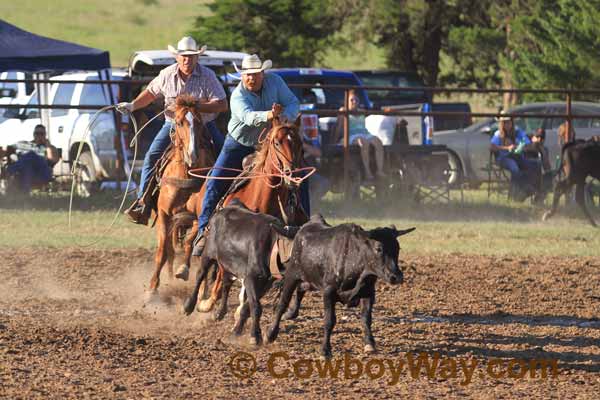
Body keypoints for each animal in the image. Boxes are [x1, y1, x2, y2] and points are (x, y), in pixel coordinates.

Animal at [147, 95, 217, 296]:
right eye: (179, 122)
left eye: (199, 122)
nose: (192, 155)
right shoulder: (164, 215)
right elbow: (163, 251)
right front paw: (152, 289)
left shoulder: (198, 217)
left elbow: (189, 244)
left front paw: (184, 270)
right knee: (170, 250)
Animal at [170, 115, 308, 312]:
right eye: (277, 142)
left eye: (299, 144)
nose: (293, 175)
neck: (260, 199)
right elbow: (223, 273)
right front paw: (210, 302)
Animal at [183, 202, 296, 346]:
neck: (272, 244)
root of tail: (222, 210)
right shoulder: (250, 278)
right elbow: (256, 306)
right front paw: (255, 336)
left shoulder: (265, 283)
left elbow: (247, 307)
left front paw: (237, 330)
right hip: (208, 254)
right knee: (200, 275)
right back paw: (189, 306)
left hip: (227, 264)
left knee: (226, 285)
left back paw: (219, 313)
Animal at [264, 214, 414, 358]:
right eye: (379, 248)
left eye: (398, 248)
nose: (396, 277)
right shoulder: (328, 292)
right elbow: (329, 321)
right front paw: (325, 350)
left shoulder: (369, 292)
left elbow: (366, 318)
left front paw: (370, 343)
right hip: (292, 275)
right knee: (282, 303)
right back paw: (271, 333)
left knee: (300, 290)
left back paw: (291, 313)